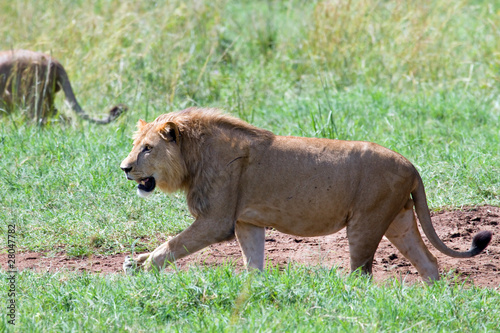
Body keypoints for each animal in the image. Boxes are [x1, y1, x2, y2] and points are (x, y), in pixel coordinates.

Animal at [121, 107, 492, 282]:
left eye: (147, 148)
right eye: (135, 145)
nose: (124, 168)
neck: (193, 155)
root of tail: (412, 166)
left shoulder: (216, 221)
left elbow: (172, 244)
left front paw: (143, 267)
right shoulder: (247, 222)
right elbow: (253, 262)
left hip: (366, 222)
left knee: (362, 273)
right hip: (398, 220)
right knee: (428, 263)